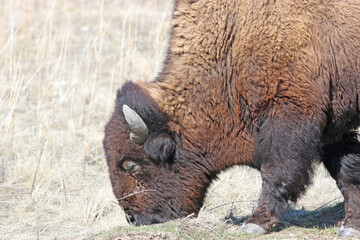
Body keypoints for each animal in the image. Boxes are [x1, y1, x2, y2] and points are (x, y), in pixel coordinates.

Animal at [102, 0, 360, 236]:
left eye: (132, 166)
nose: (135, 219)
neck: (233, 38)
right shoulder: (332, 125)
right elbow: (347, 173)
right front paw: (351, 226)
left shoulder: (291, 114)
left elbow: (275, 171)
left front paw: (255, 223)